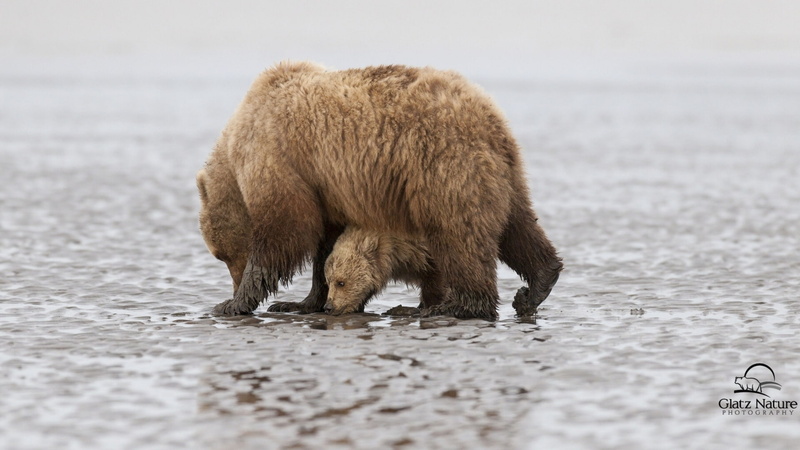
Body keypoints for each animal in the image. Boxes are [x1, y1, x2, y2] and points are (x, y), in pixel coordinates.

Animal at [196, 61, 562, 320]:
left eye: (221, 255)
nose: (232, 281)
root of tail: (490, 118)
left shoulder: (281, 158)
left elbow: (284, 228)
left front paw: (233, 303)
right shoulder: (327, 188)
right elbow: (326, 245)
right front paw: (302, 301)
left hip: (442, 165)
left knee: (459, 233)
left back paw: (449, 306)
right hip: (504, 174)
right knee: (517, 225)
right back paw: (536, 285)